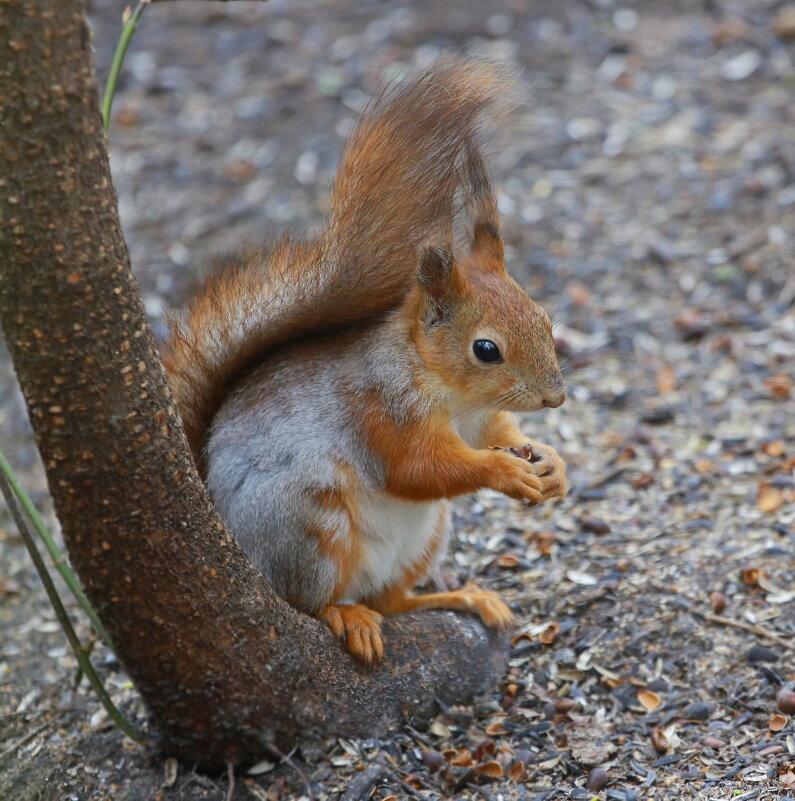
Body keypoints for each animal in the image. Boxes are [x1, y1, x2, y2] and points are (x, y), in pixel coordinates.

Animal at [163, 61, 564, 664]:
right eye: (486, 349)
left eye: (544, 318)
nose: (555, 398)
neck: (453, 395)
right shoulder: (382, 408)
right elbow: (417, 468)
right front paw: (505, 472)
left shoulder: (482, 421)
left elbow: (501, 433)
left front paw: (550, 461)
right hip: (309, 526)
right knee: (314, 602)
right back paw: (347, 615)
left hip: (425, 537)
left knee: (393, 601)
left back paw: (463, 598)